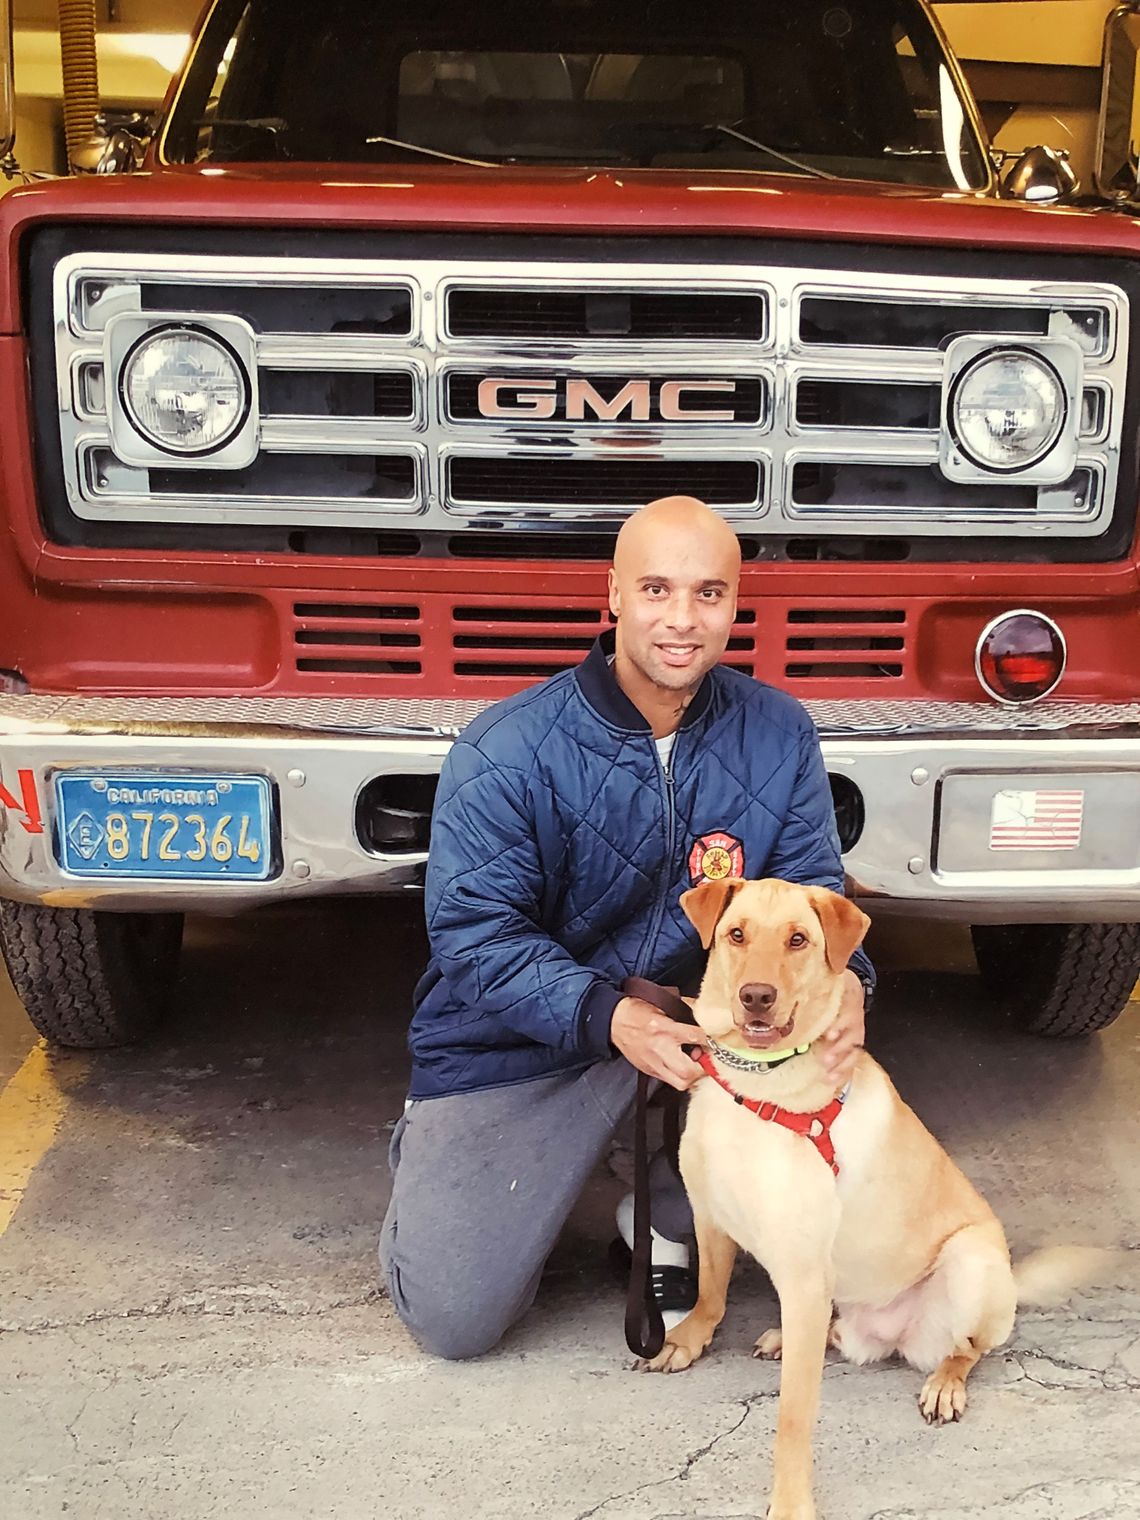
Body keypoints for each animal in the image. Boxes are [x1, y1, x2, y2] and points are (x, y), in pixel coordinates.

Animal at [644, 881, 1088, 1520]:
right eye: (736, 935)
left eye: (798, 940)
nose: (756, 997)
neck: (757, 1083)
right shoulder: (711, 1215)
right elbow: (710, 1291)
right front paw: (687, 1338)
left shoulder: (803, 1273)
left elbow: (792, 1419)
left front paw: (791, 1502)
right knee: (832, 1333)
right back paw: (789, 1338)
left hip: (970, 1261)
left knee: (969, 1349)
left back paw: (945, 1383)